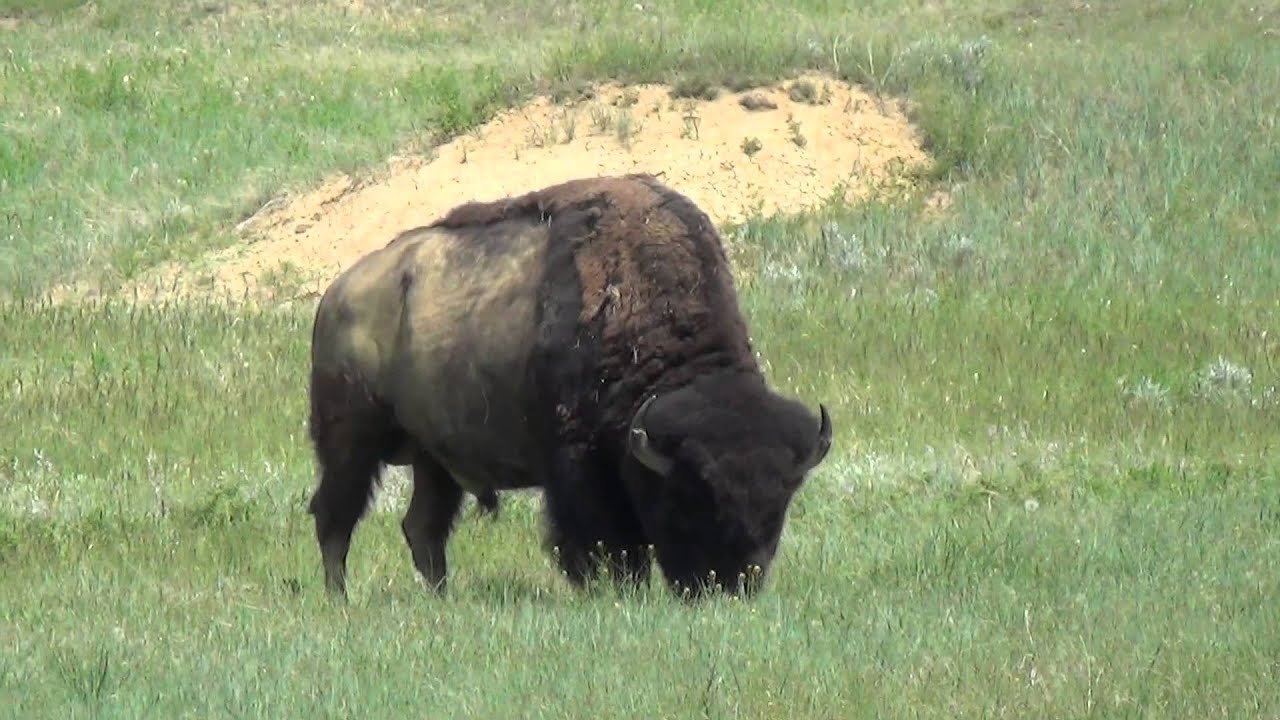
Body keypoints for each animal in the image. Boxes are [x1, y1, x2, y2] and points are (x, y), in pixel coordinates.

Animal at [305, 173, 833, 600]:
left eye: (780, 502)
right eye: (689, 495)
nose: (731, 583)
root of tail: (336, 295)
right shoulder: (577, 467)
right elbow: (600, 542)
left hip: (434, 458)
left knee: (423, 529)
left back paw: (440, 599)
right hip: (351, 442)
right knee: (336, 516)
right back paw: (339, 599)